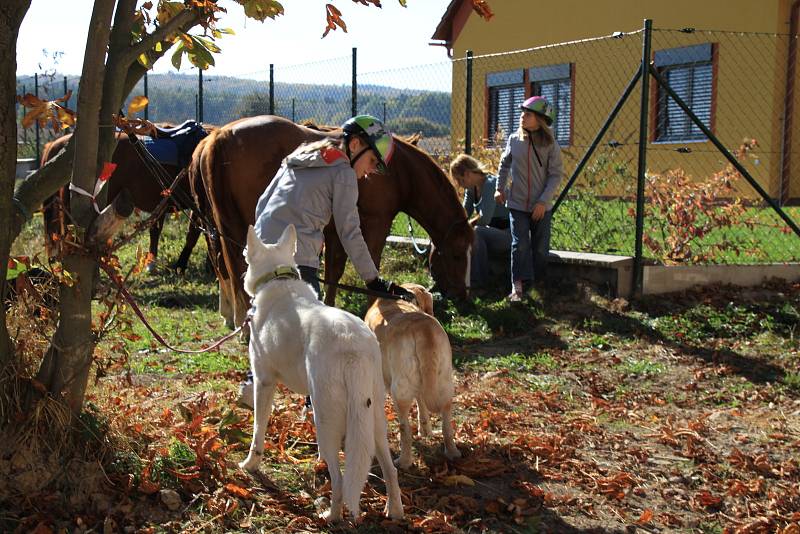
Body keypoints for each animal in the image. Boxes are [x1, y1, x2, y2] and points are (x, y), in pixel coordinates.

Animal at [190, 116, 472, 330]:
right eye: (458, 255)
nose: (463, 295)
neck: (400, 173)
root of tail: (219, 136)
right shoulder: (373, 224)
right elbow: (370, 263)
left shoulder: (335, 230)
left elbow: (333, 272)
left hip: (220, 228)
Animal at [236, 225, 400, 524]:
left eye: (244, 253)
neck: (278, 278)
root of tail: (351, 346)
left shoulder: (264, 383)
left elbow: (257, 432)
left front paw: (250, 464)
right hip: (374, 421)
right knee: (389, 470)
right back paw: (394, 511)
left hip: (325, 422)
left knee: (339, 479)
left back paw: (331, 516)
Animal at [364, 284, 460, 468]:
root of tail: (423, 329)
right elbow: (421, 403)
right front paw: (425, 430)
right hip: (444, 384)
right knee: (446, 423)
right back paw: (452, 452)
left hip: (399, 392)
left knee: (405, 430)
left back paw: (404, 461)